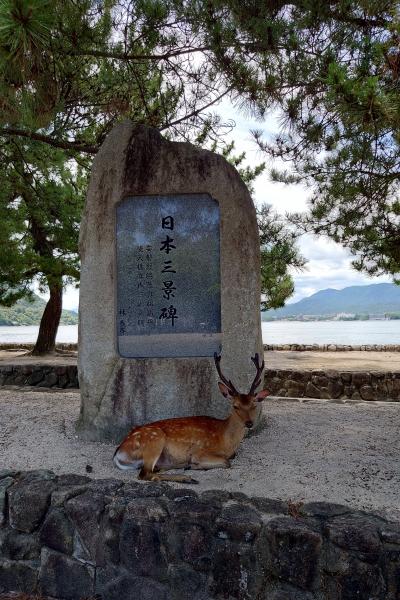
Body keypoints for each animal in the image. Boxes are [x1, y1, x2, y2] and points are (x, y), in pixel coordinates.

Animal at [112, 352, 268, 482]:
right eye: (235, 406)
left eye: (254, 405)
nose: (249, 423)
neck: (225, 441)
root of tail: (118, 453)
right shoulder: (201, 451)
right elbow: (226, 462)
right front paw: (193, 465)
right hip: (154, 441)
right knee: (145, 474)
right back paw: (186, 477)